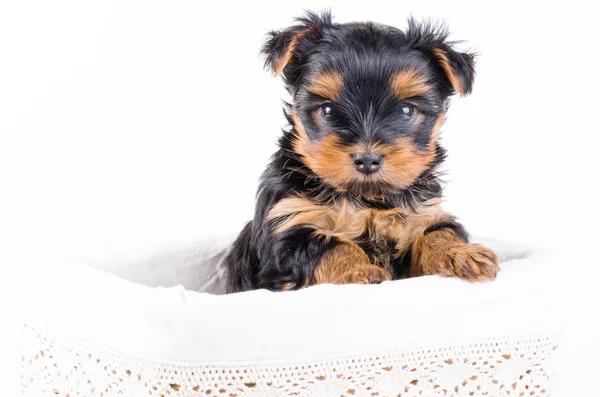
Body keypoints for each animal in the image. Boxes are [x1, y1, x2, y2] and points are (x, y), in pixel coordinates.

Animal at [223, 11, 500, 294]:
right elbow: (332, 245)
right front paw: (359, 271)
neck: (367, 199)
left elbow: (438, 232)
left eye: (406, 111)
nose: (367, 159)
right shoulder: (288, 224)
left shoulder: (422, 215)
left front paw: (461, 253)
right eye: (328, 111)